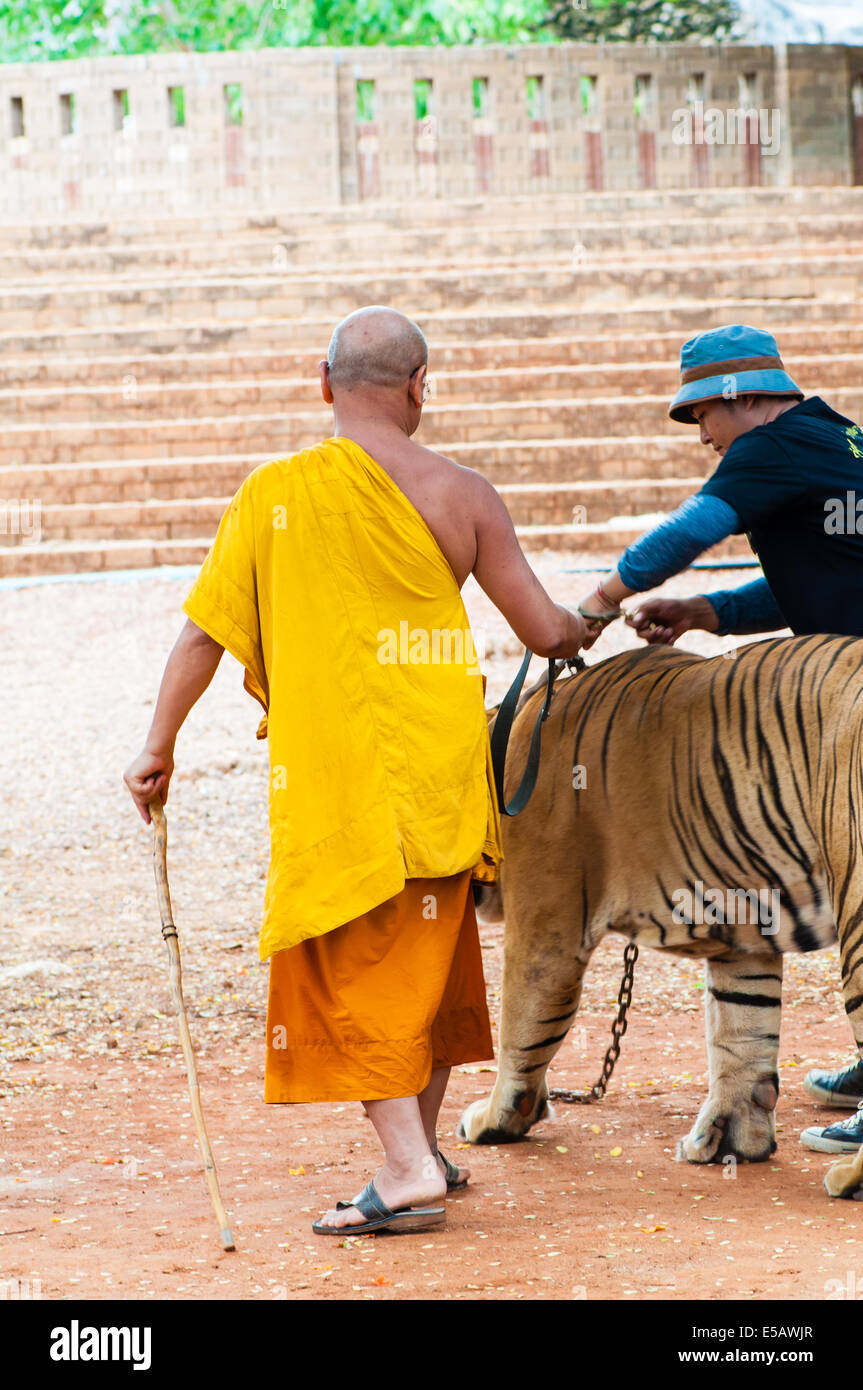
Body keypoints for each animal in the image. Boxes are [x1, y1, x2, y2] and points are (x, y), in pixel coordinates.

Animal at [458, 636, 863, 1200]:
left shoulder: (546, 924)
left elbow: (523, 1029)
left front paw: (495, 1120)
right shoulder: (744, 931)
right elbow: (742, 1031)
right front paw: (732, 1141)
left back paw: (849, 1178)